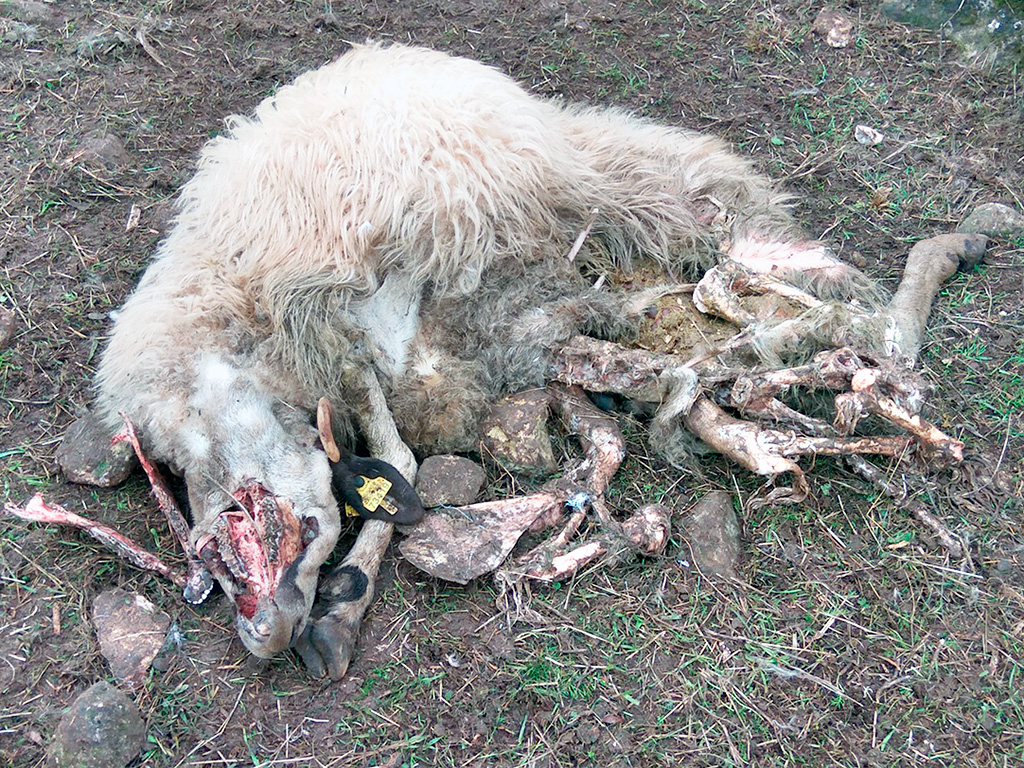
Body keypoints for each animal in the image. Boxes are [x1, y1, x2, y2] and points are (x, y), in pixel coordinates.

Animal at [95, 41, 868, 679]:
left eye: (189, 449)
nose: (260, 634)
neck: (245, 291)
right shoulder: (426, 345)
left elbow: (400, 461)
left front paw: (343, 608)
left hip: (537, 180)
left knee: (683, 205)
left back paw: (814, 289)